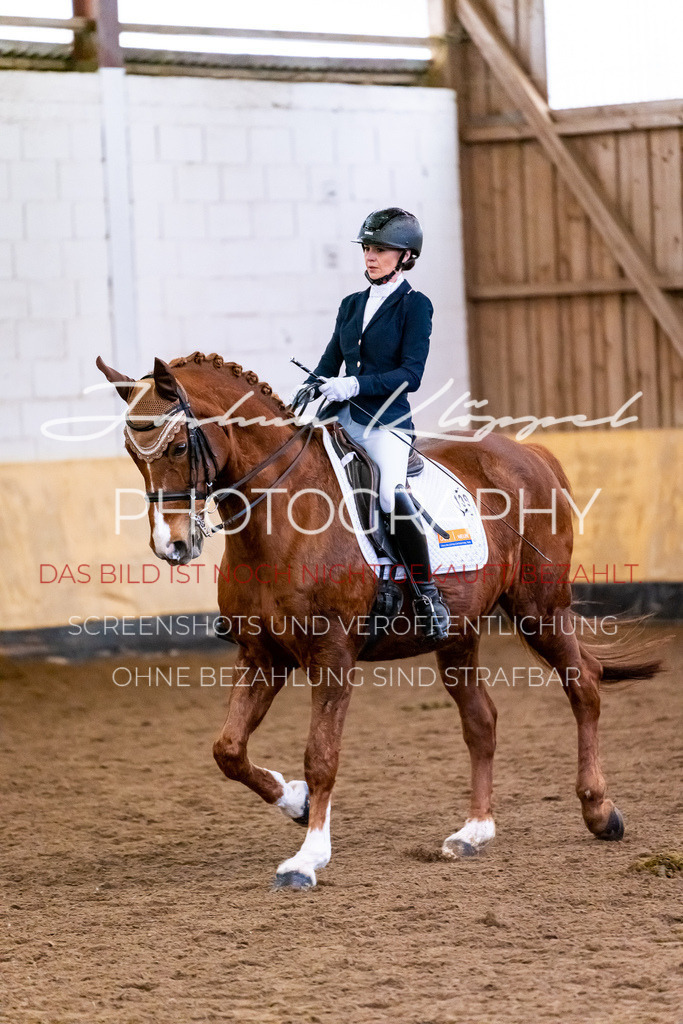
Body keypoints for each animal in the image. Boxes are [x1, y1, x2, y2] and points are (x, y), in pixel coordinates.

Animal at [97, 350, 663, 888]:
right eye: (131, 453)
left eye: (177, 448)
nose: (171, 547)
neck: (281, 512)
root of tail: (529, 453)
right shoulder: (263, 655)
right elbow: (228, 750)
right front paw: (295, 802)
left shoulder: (332, 656)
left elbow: (321, 755)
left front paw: (308, 859)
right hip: (459, 633)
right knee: (482, 721)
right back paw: (474, 832)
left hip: (539, 609)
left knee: (583, 685)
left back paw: (599, 811)